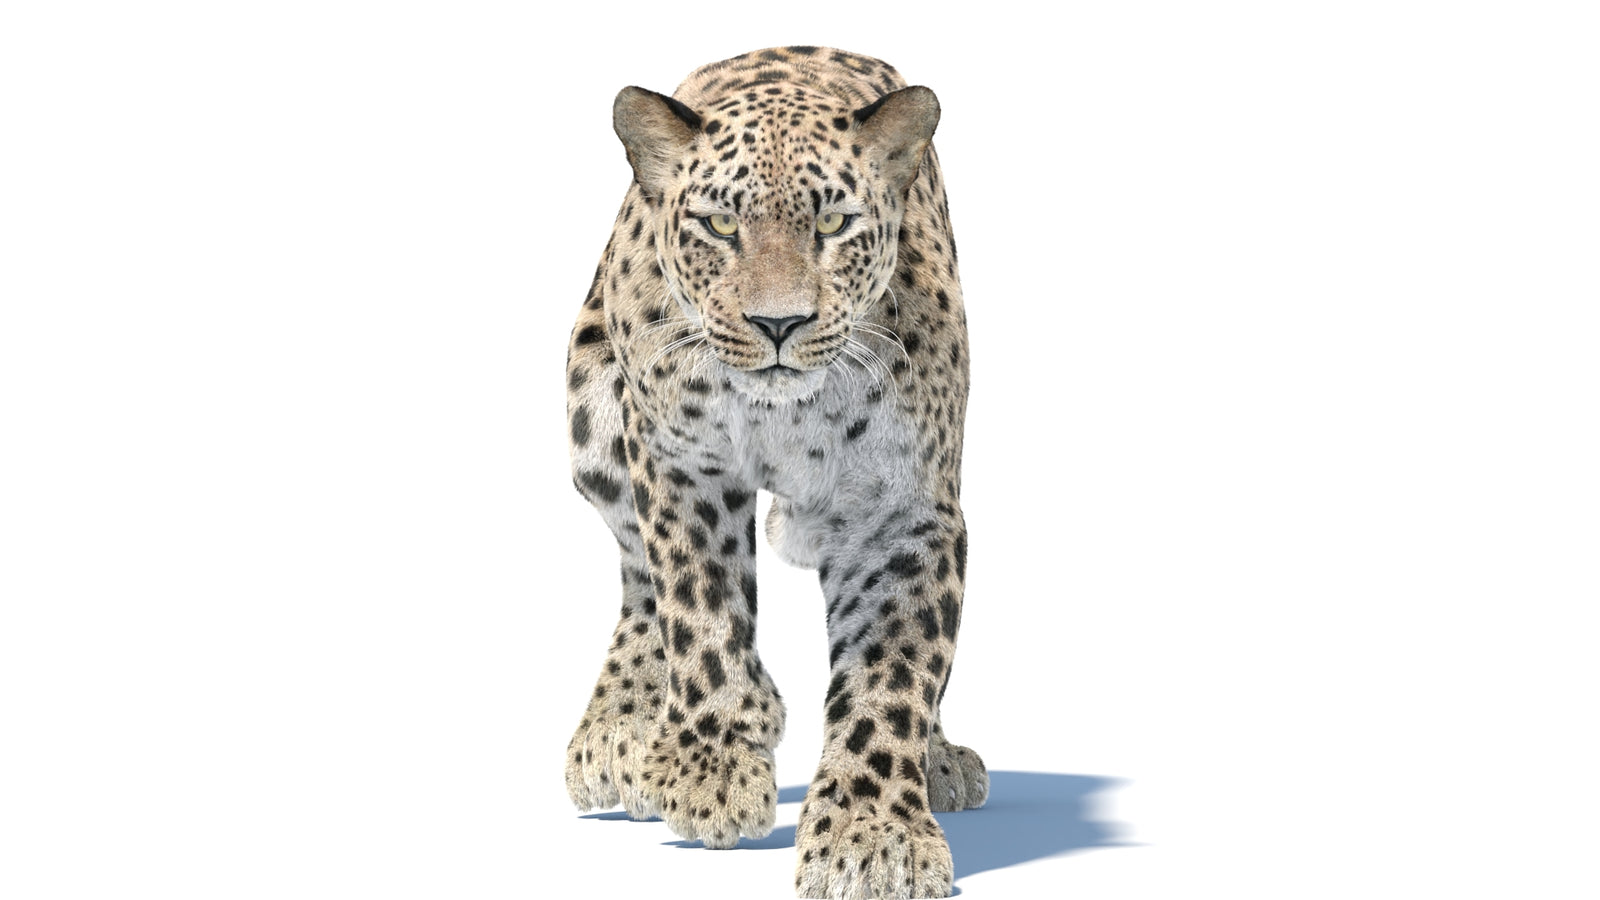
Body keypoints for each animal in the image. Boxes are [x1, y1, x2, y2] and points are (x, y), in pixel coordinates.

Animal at [561, 46, 986, 899]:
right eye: (721, 225)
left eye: (833, 224)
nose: (779, 323)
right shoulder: (680, 463)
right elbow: (698, 608)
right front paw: (712, 765)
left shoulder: (904, 511)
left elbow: (894, 672)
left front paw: (872, 835)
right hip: (596, 421)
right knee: (636, 572)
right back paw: (623, 732)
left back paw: (939, 759)